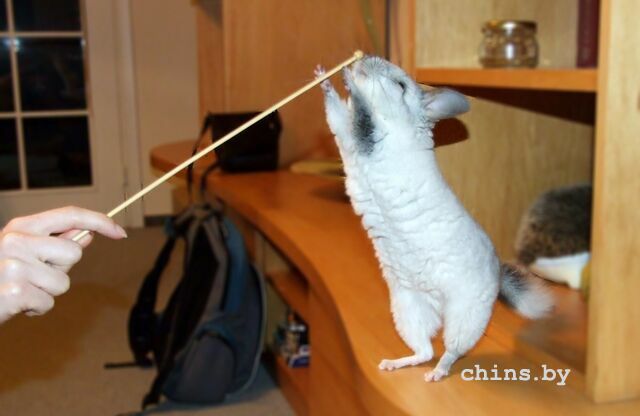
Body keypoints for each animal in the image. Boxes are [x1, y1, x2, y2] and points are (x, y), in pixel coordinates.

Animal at [315, 56, 552, 381]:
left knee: (450, 350)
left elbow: (361, 114)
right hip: (407, 309)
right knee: (424, 350)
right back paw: (395, 364)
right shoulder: (346, 139)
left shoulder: (370, 138)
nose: (365, 59)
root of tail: (496, 275)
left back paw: (437, 373)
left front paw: (350, 80)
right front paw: (324, 76)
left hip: (465, 316)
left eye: (400, 84)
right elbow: (337, 114)